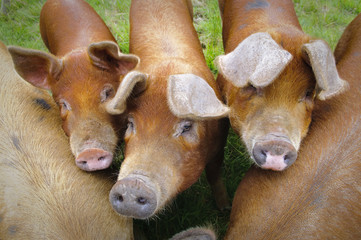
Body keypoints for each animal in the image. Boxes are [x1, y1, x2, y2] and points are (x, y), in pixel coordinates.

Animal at [102, 0, 229, 220]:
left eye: (186, 126)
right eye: (130, 123)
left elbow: (214, 174)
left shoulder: (219, 143)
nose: (132, 185)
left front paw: (225, 208)